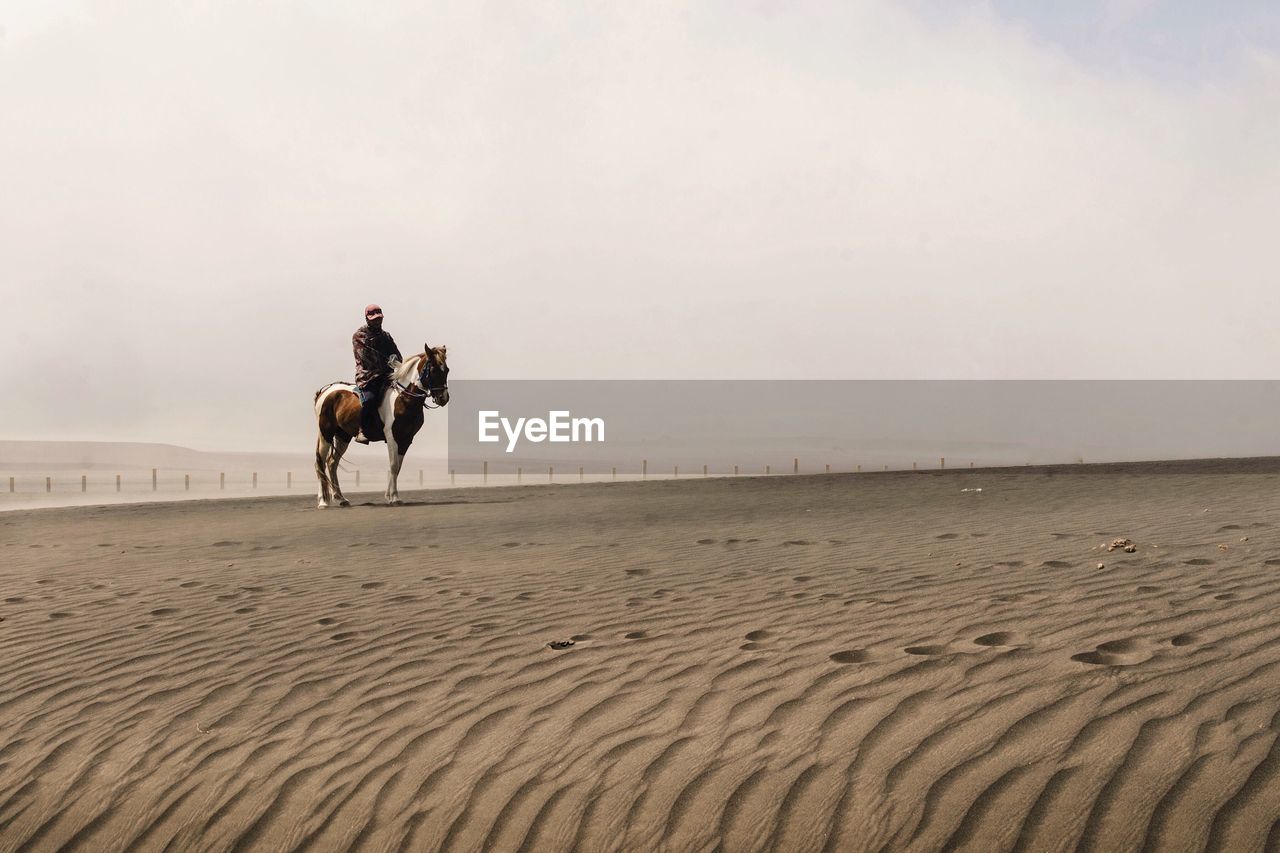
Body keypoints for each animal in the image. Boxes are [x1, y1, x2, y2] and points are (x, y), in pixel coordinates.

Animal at [311, 343, 448, 504]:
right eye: (433, 369)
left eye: (446, 370)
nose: (443, 398)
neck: (404, 399)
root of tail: (325, 391)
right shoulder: (392, 437)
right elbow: (394, 465)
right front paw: (395, 497)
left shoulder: (406, 439)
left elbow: (398, 467)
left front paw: (389, 495)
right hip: (325, 433)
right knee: (320, 463)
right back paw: (323, 501)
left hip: (343, 436)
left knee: (332, 463)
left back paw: (341, 498)